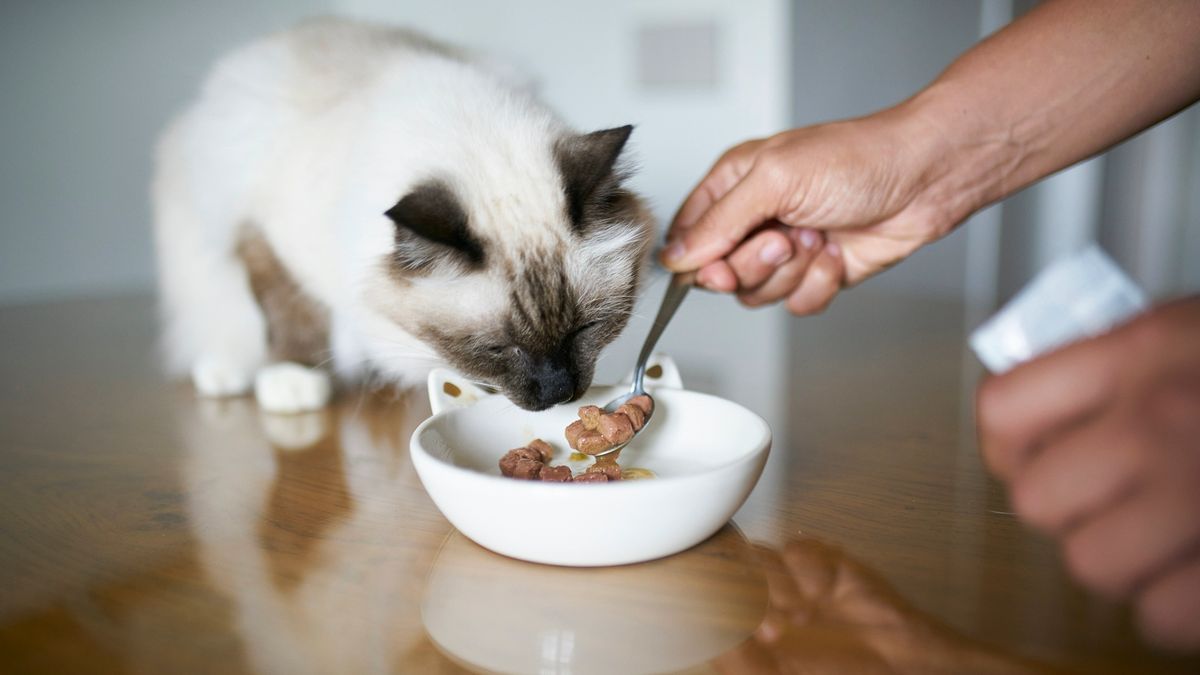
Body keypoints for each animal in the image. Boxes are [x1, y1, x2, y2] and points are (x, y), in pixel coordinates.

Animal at [156, 17, 657, 410]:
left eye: (587, 329)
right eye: (498, 348)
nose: (559, 394)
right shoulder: (261, 232)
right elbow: (293, 313)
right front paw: (294, 379)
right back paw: (227, 372)